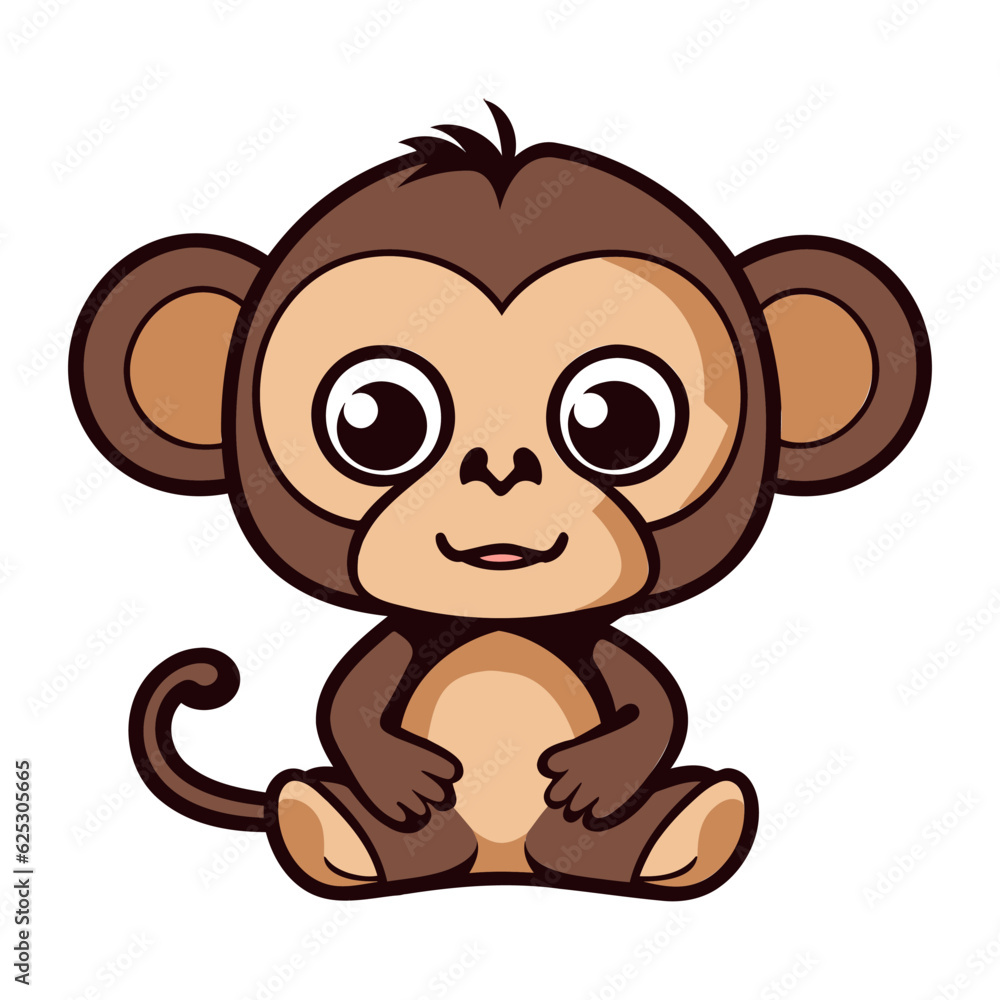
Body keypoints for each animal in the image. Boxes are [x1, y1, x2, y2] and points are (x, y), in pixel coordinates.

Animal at [69, 103, 930, 901]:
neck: (499, 623)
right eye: (375, 420)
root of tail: (502, 864)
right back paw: (339, 831)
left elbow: (651, 701)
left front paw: (602, 772)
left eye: (619, 419)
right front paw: (397, 773)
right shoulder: (412, 634)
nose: (501, 469)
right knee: (334, 809)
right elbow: (350, 696)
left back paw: (686, 827)